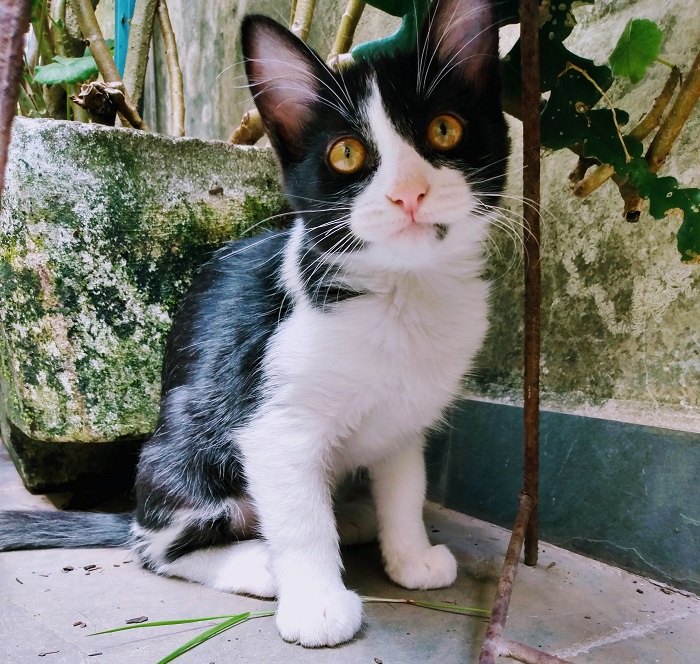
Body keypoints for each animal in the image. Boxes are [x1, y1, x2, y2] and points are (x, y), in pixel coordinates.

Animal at [0, 0, 508, 644]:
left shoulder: (405, 420)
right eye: (346, 154)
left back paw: (353, 518)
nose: (408, 193)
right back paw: (259, 562)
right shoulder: (272, 422)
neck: (403, 294)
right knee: (157, 545)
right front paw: (317, 605)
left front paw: (412, 558)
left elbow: (406, 487)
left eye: (445, 129)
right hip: (186, 446)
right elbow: (299, 520)